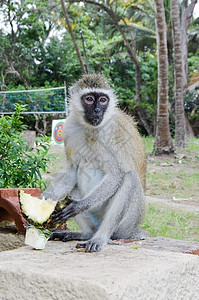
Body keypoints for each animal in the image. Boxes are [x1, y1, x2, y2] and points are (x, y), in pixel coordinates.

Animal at [42, 74, 148, 252]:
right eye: (89, 99)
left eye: (103, 100)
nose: (97, 110)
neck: (89, 129)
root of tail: (135, 230)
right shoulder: (69, 129)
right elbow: (72, 170)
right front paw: (41, 201)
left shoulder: (109, 133)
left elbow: (116, 174)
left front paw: (80, 205)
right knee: (75, 182)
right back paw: (85, 234)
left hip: (127, 225)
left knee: (129, 178)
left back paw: (100, 238)